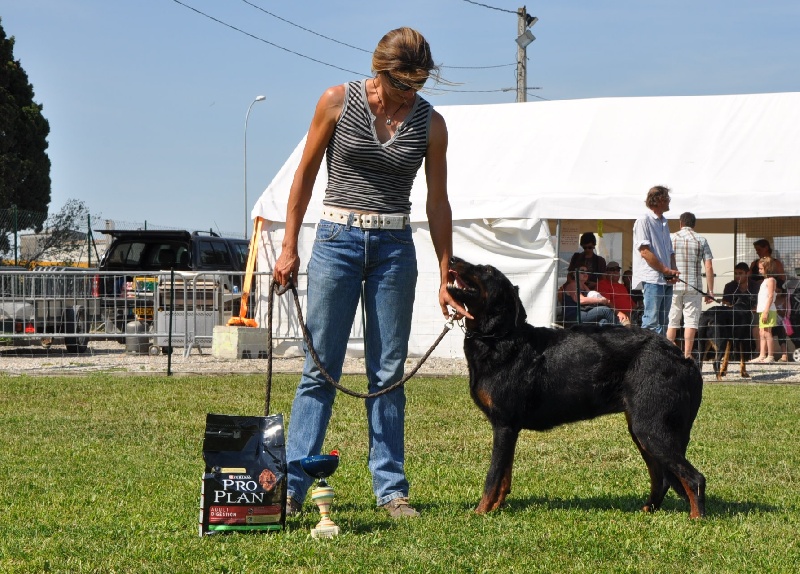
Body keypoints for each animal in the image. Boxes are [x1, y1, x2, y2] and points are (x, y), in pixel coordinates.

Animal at [450, 258, 708, 520]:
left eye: (486, 270)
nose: (452, 259)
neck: (498, 336)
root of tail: (684, 359)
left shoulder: (503, 424)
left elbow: (493, 476)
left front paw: (480, 512)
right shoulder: (509, 428)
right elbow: (504, 476)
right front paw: (496, 508)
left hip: (651, 428)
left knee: (695, 478)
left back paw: (696, 518)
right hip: (642, 431)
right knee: (662, 477)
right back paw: (648, 509)